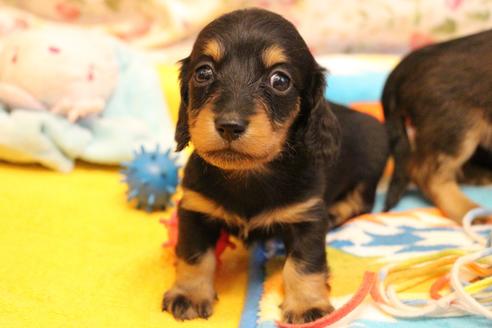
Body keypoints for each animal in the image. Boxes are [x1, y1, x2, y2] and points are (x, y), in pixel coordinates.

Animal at [164, 9, 388, 324]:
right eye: (203, 72)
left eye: (279, 80)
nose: (229, 125)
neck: (249, 175)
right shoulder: (195, 209)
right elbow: (194, 255)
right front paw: (190, 293)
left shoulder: (307, 216)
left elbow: (304, 264)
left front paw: (306, 304)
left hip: (370, 165)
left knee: (361, 201)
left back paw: (335, 212)